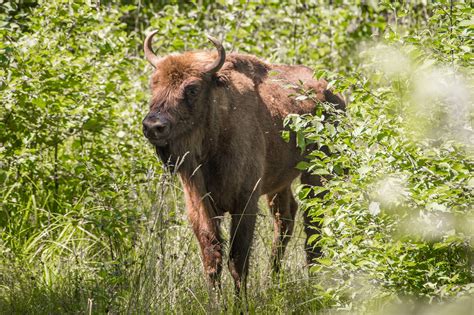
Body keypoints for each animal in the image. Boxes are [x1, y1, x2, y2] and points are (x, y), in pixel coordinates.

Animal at [141, 32, 344, 294]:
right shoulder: (199, 202)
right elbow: (212, 256)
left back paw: (314, 285)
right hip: (280, 184)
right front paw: (214, 300)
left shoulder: (246, 201)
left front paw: (241, 300)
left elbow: (237, 259)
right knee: (285, 219)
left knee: (312, 227)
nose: (153, 126)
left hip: (316, 174)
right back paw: (272, 281)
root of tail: (333, 93)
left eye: (193, 89)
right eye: (154, 83)